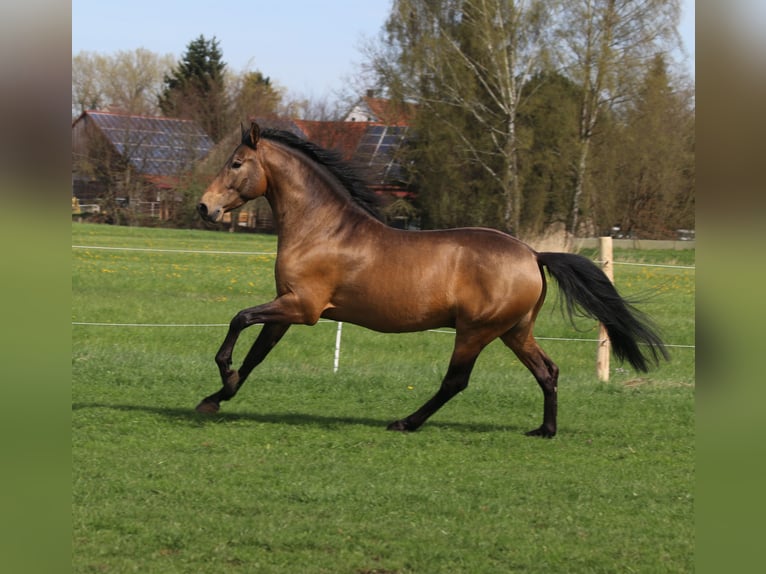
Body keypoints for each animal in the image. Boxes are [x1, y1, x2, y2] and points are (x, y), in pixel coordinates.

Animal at [200, 121, 672, 436]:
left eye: (236, 163)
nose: (205, 207)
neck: (322, 229)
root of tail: (533, 254)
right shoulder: (287, 307)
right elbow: (256, 354)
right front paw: (217, 397)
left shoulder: (302, 307)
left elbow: (239, 320)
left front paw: (221, 381)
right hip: (515, 331)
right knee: (548, 372)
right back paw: (544, 430)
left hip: (475, 331)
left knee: (455, 381)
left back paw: (406, 422)